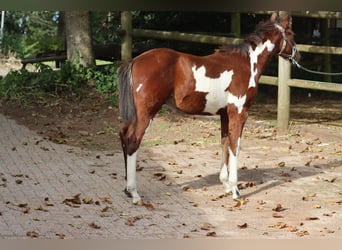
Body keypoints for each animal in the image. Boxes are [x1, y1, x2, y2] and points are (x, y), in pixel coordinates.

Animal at [117, 12, 300, 203]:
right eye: (291, 34)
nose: (298, 55)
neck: (247, 63)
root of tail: (134, 61)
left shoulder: (225, 114)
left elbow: (225, 143)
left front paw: (226, 185)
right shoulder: (239, 113)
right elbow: (235, 146)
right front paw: (235, 190)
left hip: (135, 115)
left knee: (123, 135)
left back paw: (127, 189)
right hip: (146, 114)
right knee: (133, 141)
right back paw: (134, 193)